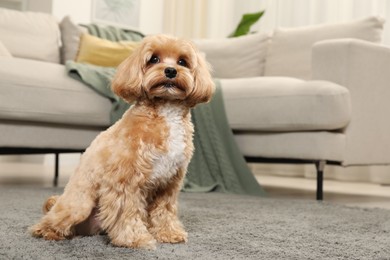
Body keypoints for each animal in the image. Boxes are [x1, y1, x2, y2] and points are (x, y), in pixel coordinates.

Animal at [29, 34, 213, 250]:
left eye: (182, 62)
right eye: (154, 59)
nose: (170, 70)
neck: (165, 112)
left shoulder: (168, 184)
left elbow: (164, 211)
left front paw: (168, 233)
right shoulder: (125, 181)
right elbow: (127, 213)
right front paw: (134, 239)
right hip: (80, 205)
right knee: (48, 221)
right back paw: (50, 232)